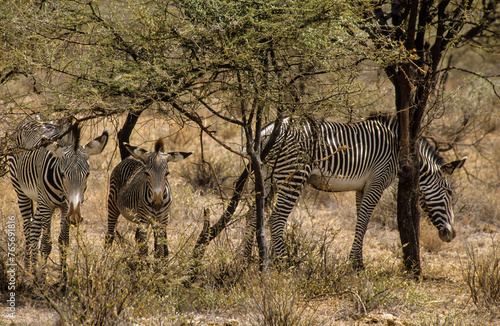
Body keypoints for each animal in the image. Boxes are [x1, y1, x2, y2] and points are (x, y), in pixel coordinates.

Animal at [9, 121, 108, 284]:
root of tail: (30, 122)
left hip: (39, 199)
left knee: (35, 229)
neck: (62, 191)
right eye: (63, 174)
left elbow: (63, 242)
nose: (75, 216)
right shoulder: (47, 206)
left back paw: (33, 273)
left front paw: (63, 281)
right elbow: (46, 244)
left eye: (87, 174)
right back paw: (28, 275)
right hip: (22, 192)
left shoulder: (66, 207)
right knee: (28, 229)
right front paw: (42, 281)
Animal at [244, 116, 466, 268]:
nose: (452, 234)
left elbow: (362, 222)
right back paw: (285, 263)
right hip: (293, 175)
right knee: (276, 218)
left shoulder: (362, 187)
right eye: (449, 192)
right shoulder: (376, 182)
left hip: (266, 177)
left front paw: (357, 259)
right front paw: (356, 264)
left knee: (252, 215)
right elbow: (364, 221)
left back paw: (247, 261)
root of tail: (266, 132)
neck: (398, 150)